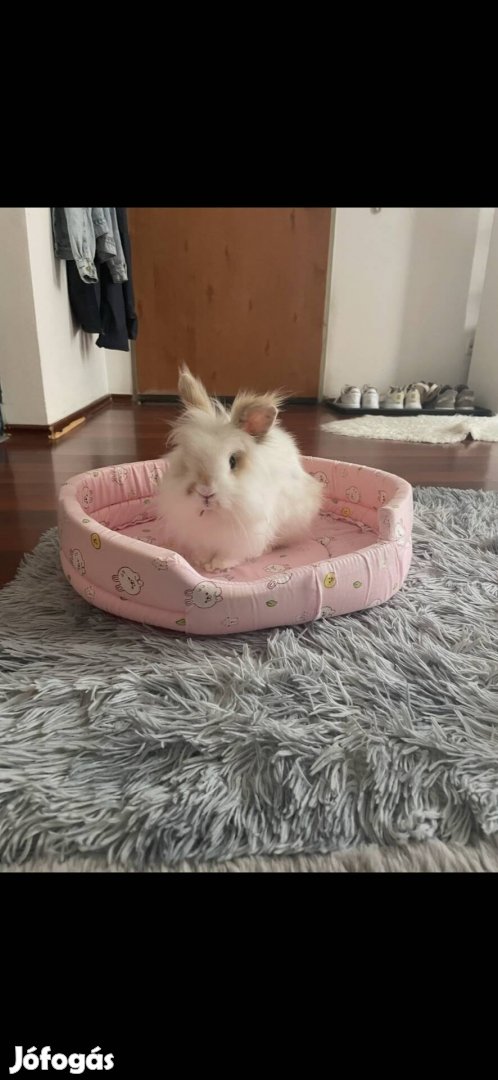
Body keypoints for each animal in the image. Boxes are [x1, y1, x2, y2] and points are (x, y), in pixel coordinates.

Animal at [156, 365, 323, 572]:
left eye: (233, 461)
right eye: (187, 458)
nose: (205, 491)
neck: (214, 515)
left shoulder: (246, 536)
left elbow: (232, 554)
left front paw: (218, 565)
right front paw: (201, 561)